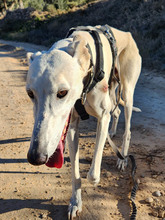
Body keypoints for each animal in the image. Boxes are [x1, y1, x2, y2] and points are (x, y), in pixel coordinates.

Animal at [26, 25, 141, 218]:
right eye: (29, 93)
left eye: (62, 92)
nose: (36, 157)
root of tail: (127, 34)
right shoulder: (72, 126)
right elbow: (75, 173)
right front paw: (75, 203)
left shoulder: (103, 117)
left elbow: (93, 175)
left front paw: (93, 180)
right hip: (113, 90)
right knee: (116, 111)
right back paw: (113, 133)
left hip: (127, 90)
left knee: (128, 127)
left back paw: (123, 158)